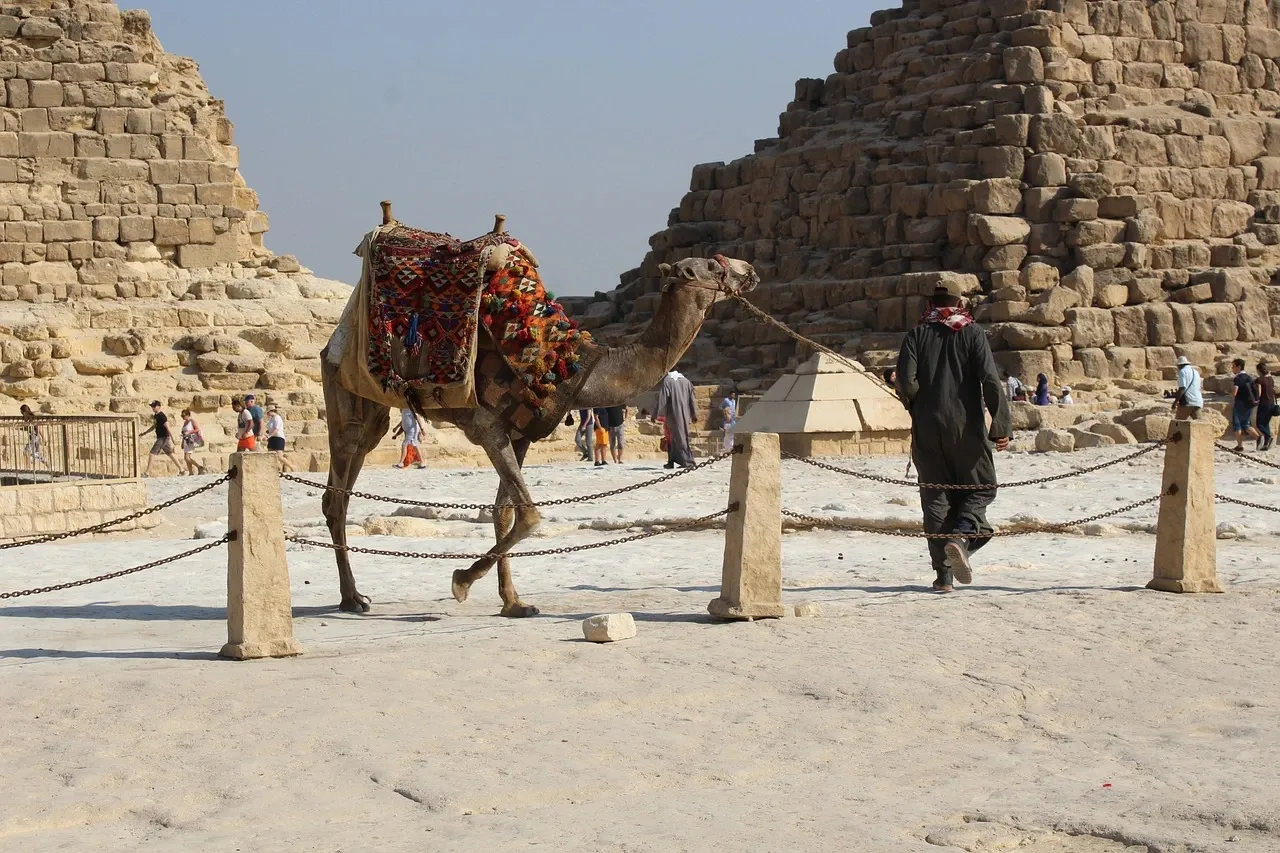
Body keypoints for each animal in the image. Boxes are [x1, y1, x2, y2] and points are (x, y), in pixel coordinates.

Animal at [320, 210, 757, 614]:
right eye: (712, 265)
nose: (749, 270)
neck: (573, 367)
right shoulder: (488, 427)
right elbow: (529, 516)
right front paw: (462, 581)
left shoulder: (521, 434)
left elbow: (503, 513)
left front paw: (513, 602)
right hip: (344, 389)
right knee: (337, 491)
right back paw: (351, 598)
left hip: (373, 407)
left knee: (348, 477)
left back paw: (353, 594)